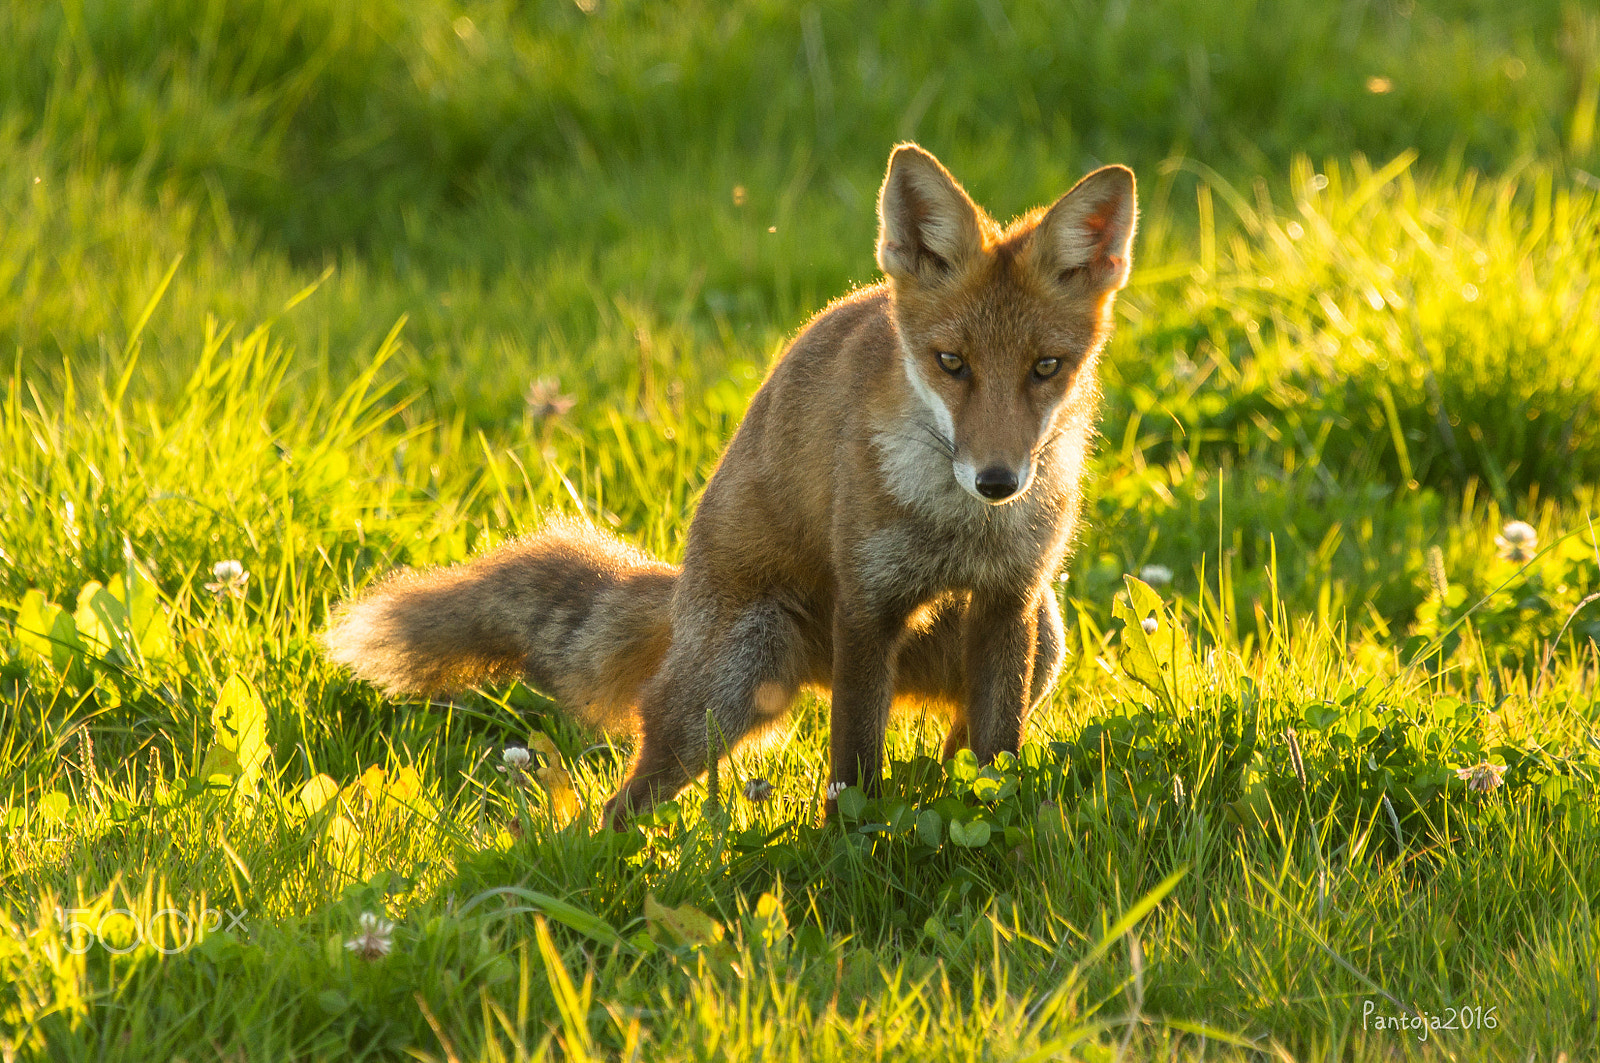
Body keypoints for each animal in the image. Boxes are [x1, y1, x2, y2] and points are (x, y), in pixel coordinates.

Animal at [321, 143, 1139, 819]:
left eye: (1046, 367)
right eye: (952, 363)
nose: (997, 480)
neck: (958, 527)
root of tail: (683, 592)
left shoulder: (1010, 597)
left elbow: (996, 758)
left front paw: (993, 828)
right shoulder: (867, 606)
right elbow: (854, 773)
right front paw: (853, 853)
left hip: (1046, 639)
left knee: (960, 743)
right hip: (731, 683)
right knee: (621, 801)